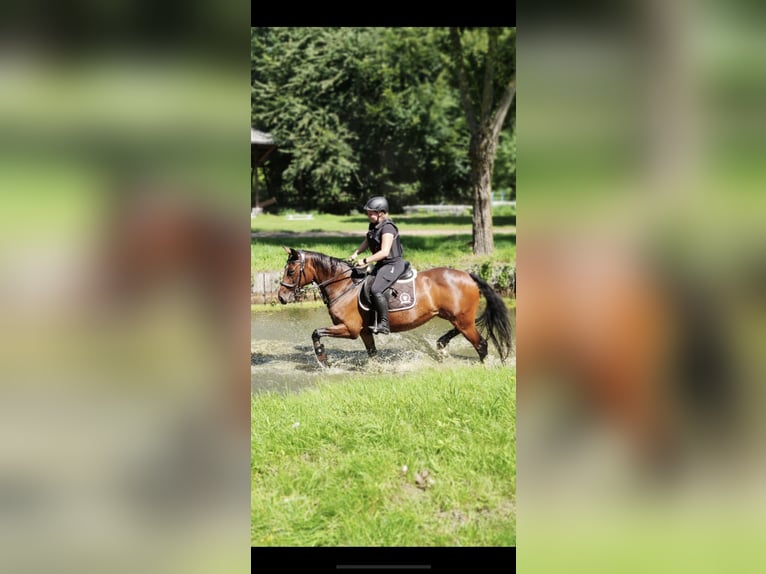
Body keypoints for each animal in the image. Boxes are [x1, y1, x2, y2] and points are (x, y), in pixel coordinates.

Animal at [276, 247, 513, 367]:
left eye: (290, 271)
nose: (281, 297)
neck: (344, 286)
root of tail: (469, 275)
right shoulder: (363, 331)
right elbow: (372, 353)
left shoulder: (350, 329)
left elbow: (316, 332)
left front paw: (323, 359)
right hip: (456, 317)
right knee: (460, 331)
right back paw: (442, 345)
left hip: (462, 319)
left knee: (481, 344)